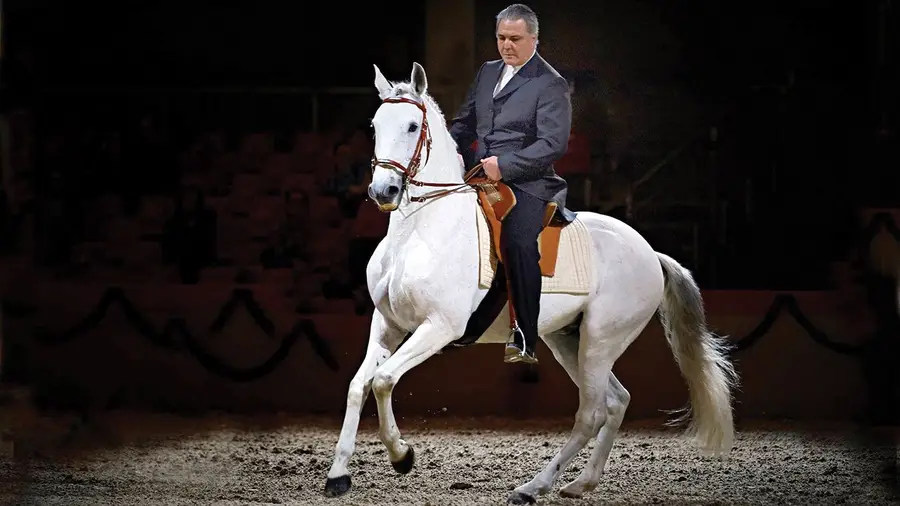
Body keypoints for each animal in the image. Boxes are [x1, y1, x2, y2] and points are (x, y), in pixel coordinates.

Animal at [326, 61, 740, 504]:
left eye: (411, 125)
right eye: (375, 125)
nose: (383, 190)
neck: (419, 231)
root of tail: (651, 254)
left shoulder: (438, 327)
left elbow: (384, 381)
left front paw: (402, 455)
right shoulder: (387, 323)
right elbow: (358, 385)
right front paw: (338, 474)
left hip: (601, 340)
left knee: (592, 411)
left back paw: (533, 486)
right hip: (567, 339)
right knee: (616, 401)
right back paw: (581, 482)